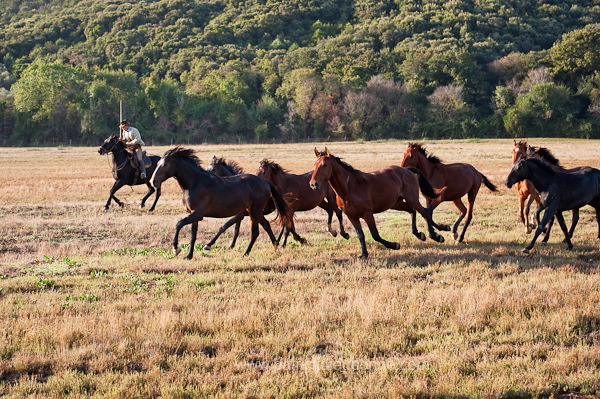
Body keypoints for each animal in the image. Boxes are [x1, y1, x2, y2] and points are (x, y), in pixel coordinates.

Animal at [149, 148, 292, 260]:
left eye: (165, 164)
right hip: (254, 211)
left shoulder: (198, 214)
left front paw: (176, 249)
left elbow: (179, 224)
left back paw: (246, 253)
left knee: (255, 232)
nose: (153, 181)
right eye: (157, 163)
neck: (194, 183)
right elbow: (193, 235)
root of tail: (265, 182)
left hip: (254, 211)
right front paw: (189, 255)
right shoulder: (193, 215)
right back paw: (276, 248)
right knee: (267, 225)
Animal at [310, 148, 446, 260]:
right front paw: (364, 254)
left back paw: (435, 235)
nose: (313, 184)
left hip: (412, 199)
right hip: (396, 203)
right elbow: (360, 235)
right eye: (314, 165)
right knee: (413, 211)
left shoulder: (368, 214)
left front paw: (394, 245)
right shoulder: (352, 216)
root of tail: (407, 170)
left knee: (424, 212)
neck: (349, 188)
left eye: (324, 165)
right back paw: (420, 234)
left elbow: (375, 234)